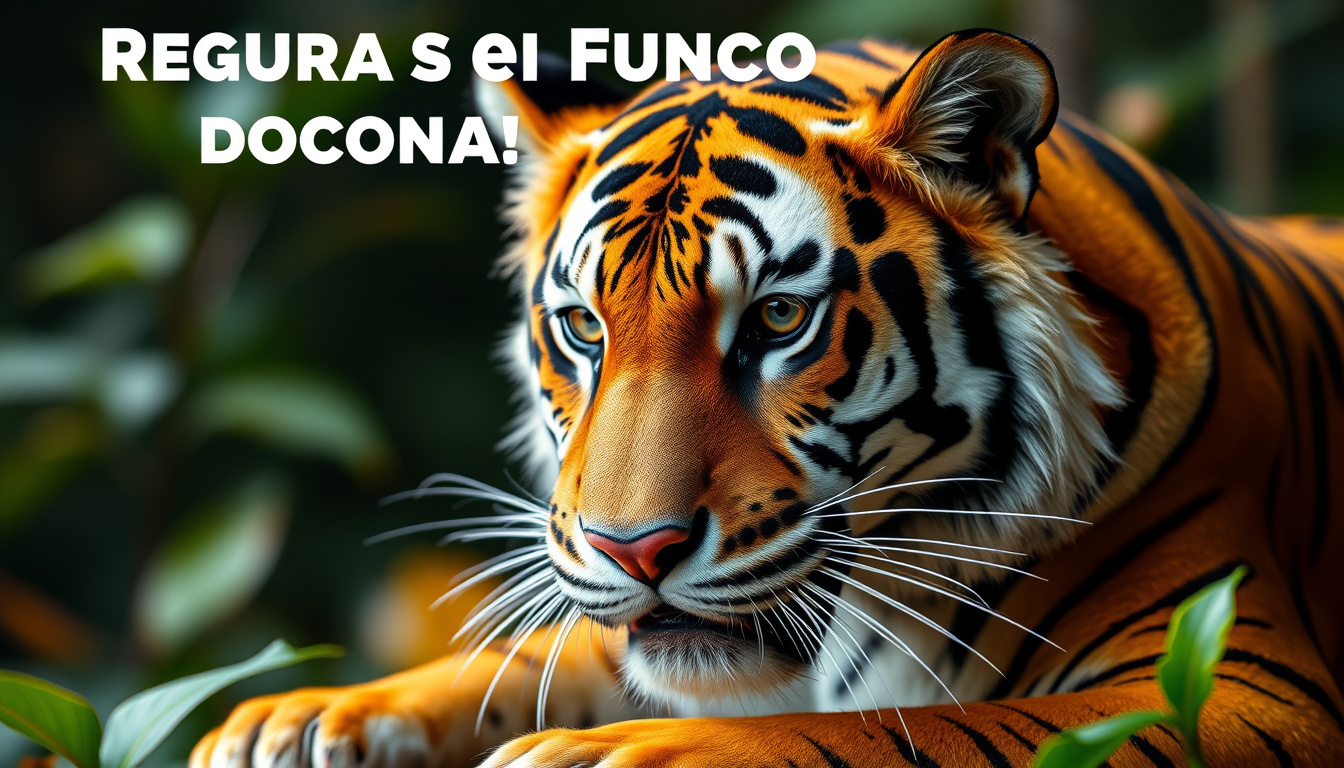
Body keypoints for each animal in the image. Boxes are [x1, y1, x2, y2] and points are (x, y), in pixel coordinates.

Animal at [190, 30, 1344, 768]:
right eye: (586, 329)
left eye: (779, 321)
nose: (634, 552)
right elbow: (525, 658)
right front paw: (300, 724)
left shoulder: (1233, 688)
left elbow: (915, 727)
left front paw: (622, 753)